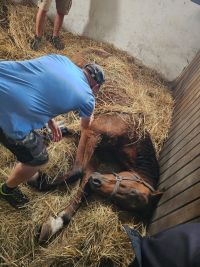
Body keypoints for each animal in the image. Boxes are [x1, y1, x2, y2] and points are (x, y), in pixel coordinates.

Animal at [28, 112, 162, 243]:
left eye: (118, 202)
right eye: (132, 191)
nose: (96, 181)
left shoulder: (94, 159)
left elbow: (83, 188)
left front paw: (56, 223)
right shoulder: (92, 131)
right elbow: (78, 169)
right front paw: (37, 178)